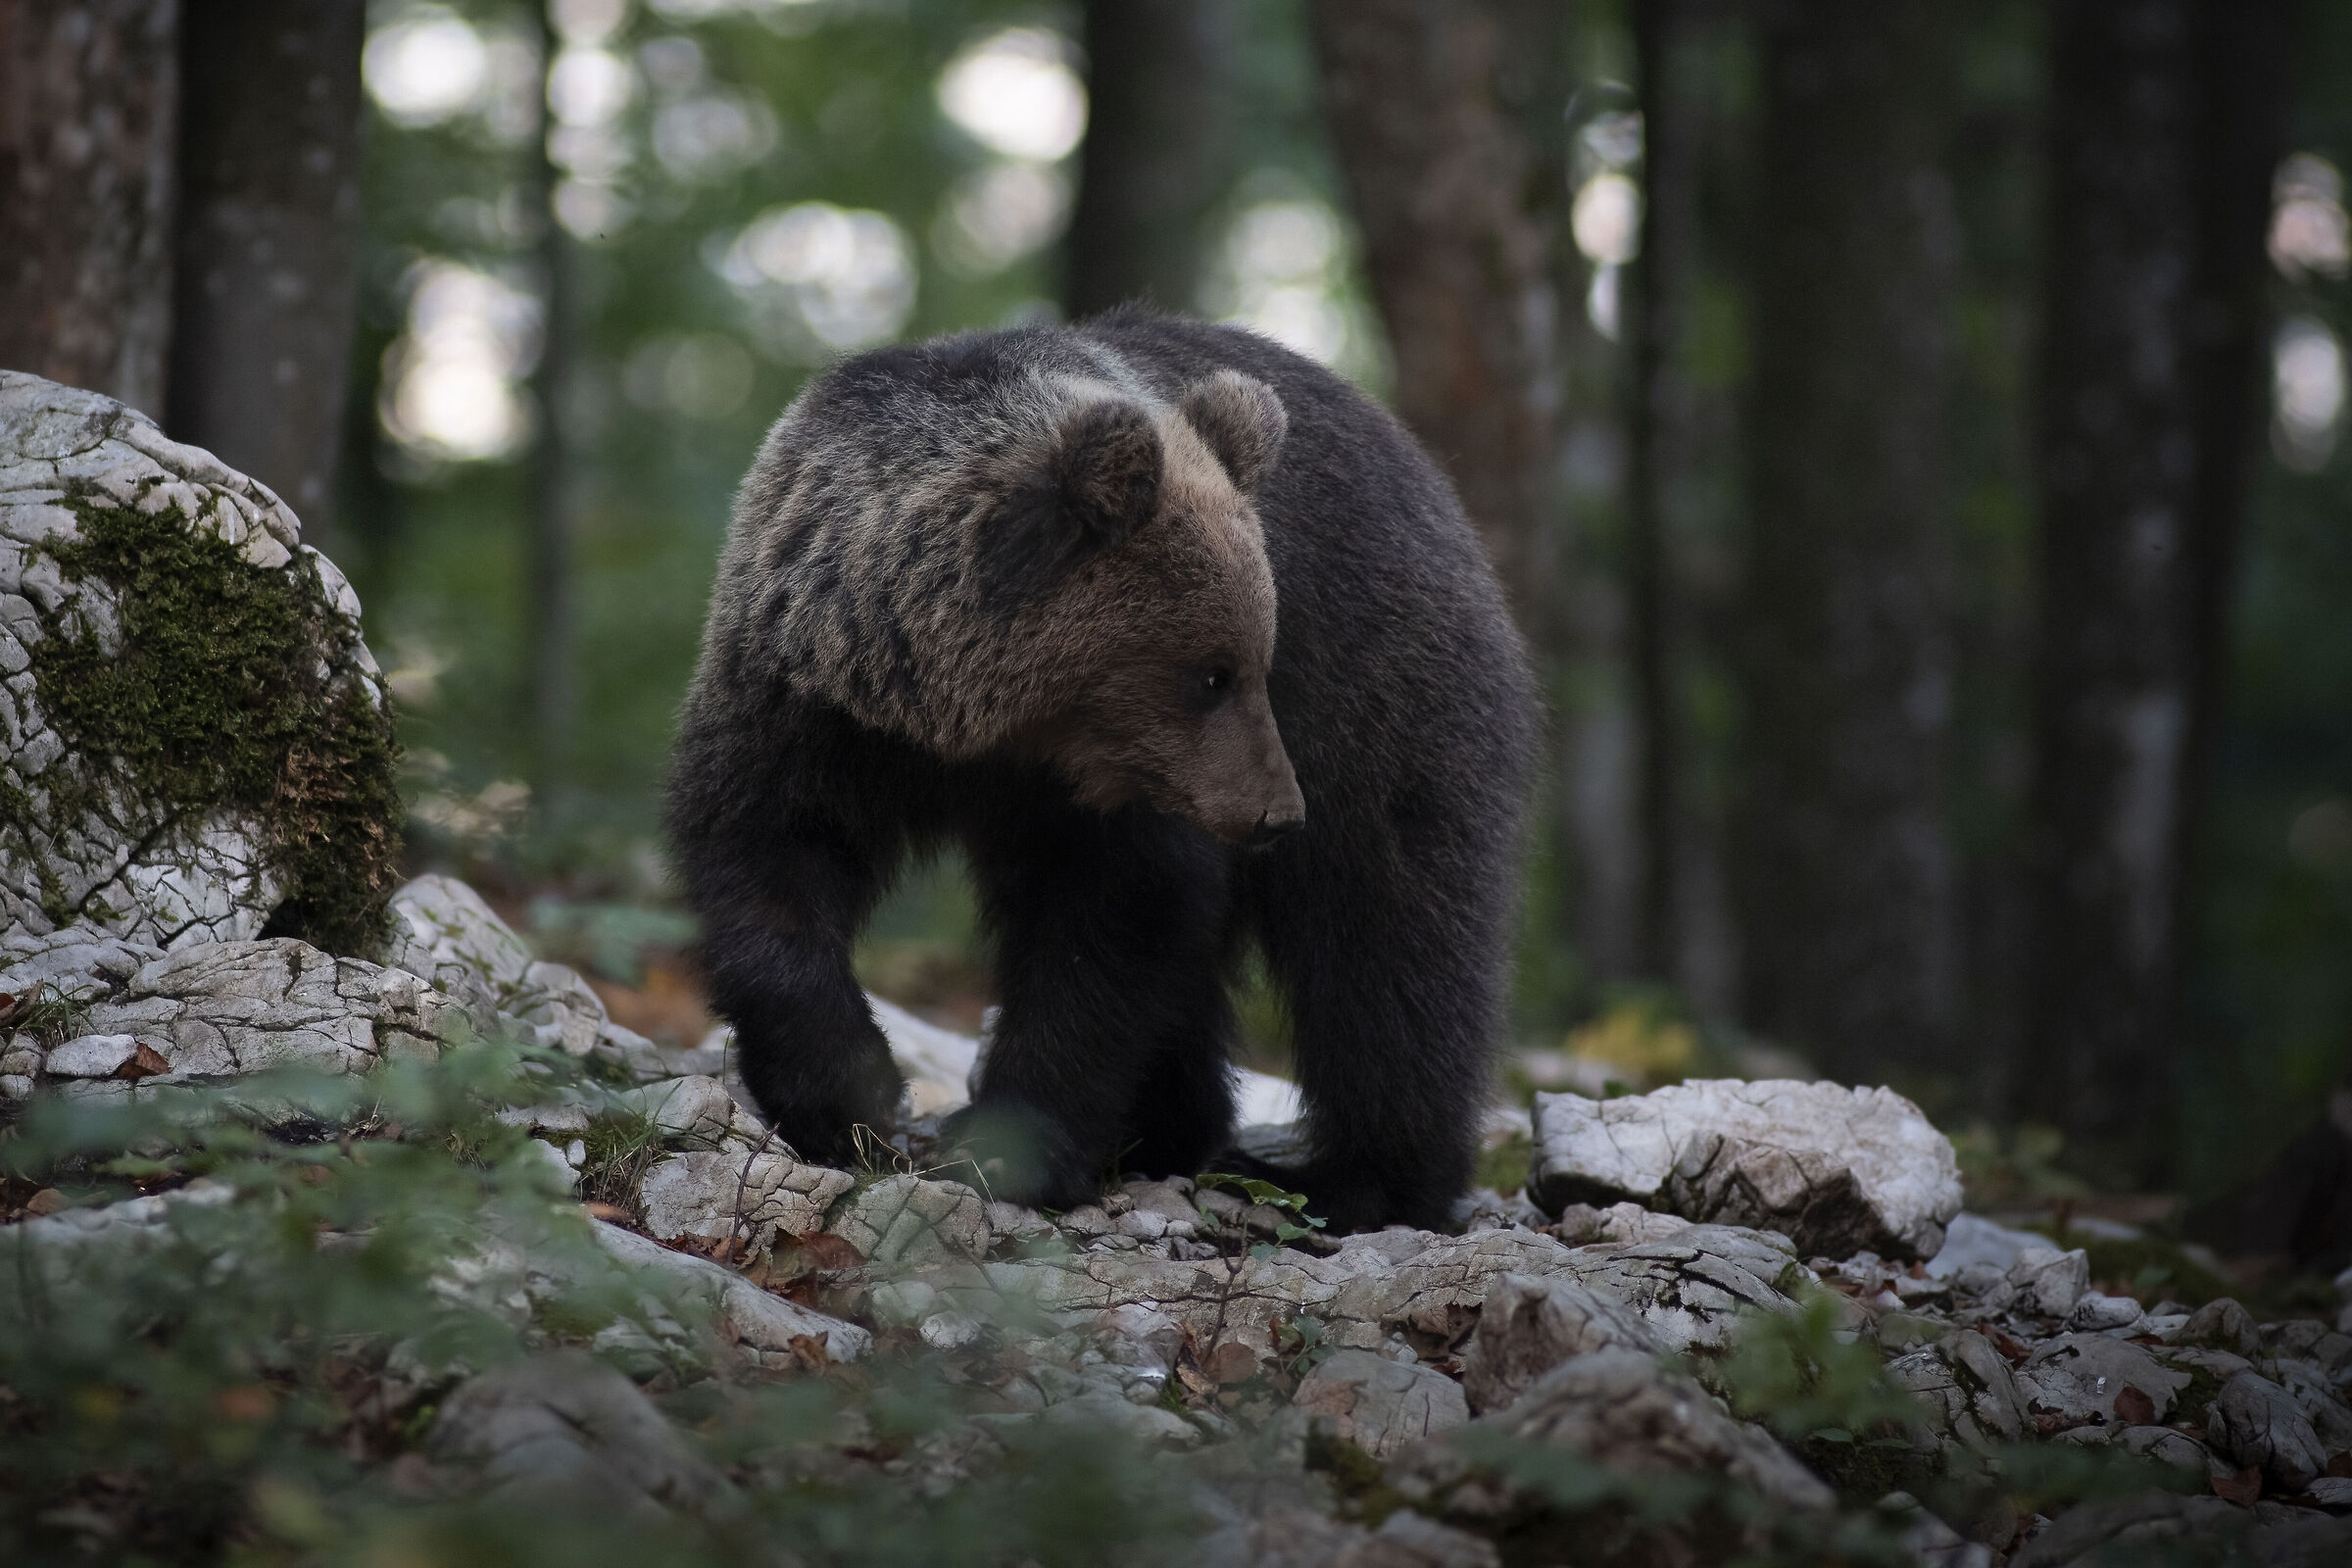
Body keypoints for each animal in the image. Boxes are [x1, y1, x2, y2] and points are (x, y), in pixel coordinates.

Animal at [666, 308, 1536, 1232]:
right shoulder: (811, 705)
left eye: (1258, 660)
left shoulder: (1128, 785)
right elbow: (765, 863)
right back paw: (1171, 1133)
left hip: (1383, 695)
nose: (1276, 814)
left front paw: (1008, 1148)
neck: (966, 721)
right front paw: (849, 1097)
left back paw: (1370, 1181)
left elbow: (1116, 918)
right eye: (1213, 674)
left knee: (1389, 932)